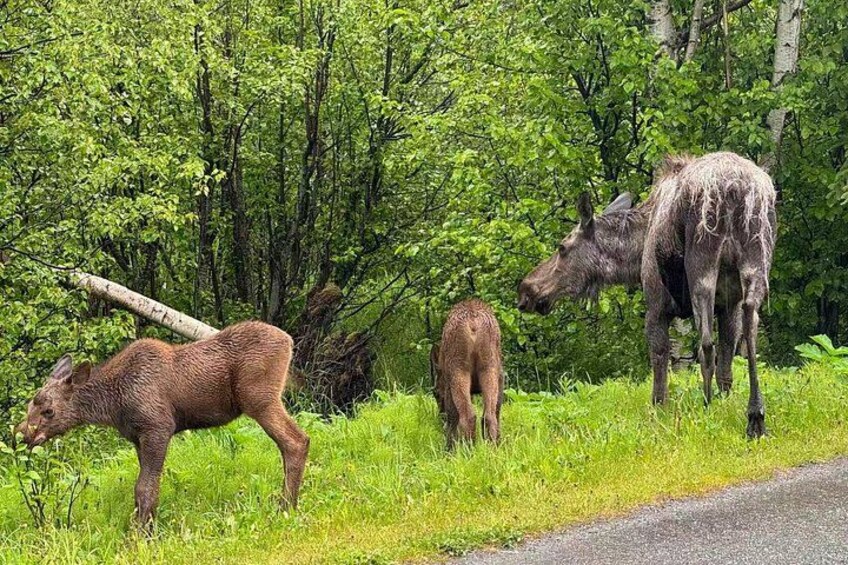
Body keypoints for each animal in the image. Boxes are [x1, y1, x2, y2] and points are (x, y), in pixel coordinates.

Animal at [15, 320, 309, 527]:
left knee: (296, 440)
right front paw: (146, 527)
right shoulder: (137, 437)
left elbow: (145, 487)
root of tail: (289, 340)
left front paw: (140, 536)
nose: (21, 436)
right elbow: (143, 488)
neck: (113, 405)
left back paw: (285, 508)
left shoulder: (158, 428)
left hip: (260, 399)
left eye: (49, 411)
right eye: (30, 405)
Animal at [430, 299, 504, 449]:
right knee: (489, 416)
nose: (440, 418)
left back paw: (465, 450)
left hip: (458, 368)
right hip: (489, 367)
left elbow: (452, 416)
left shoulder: (447, 385)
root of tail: (473, 323)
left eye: (435, 393)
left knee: (468, 416)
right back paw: (493, 449)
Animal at [518, 152, 776, 438]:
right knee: (750, 325)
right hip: (756, 262)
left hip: (702, 265)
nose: (526, 290)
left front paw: (660, 410)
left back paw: (707, 406)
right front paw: (726, 401)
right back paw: (755, 416)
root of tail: (735, 189)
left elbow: (660, 361)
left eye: (562, 247)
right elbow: (728, 360)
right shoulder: (729, 304)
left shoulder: (656, 303)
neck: (638, 247)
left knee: (706, 344)